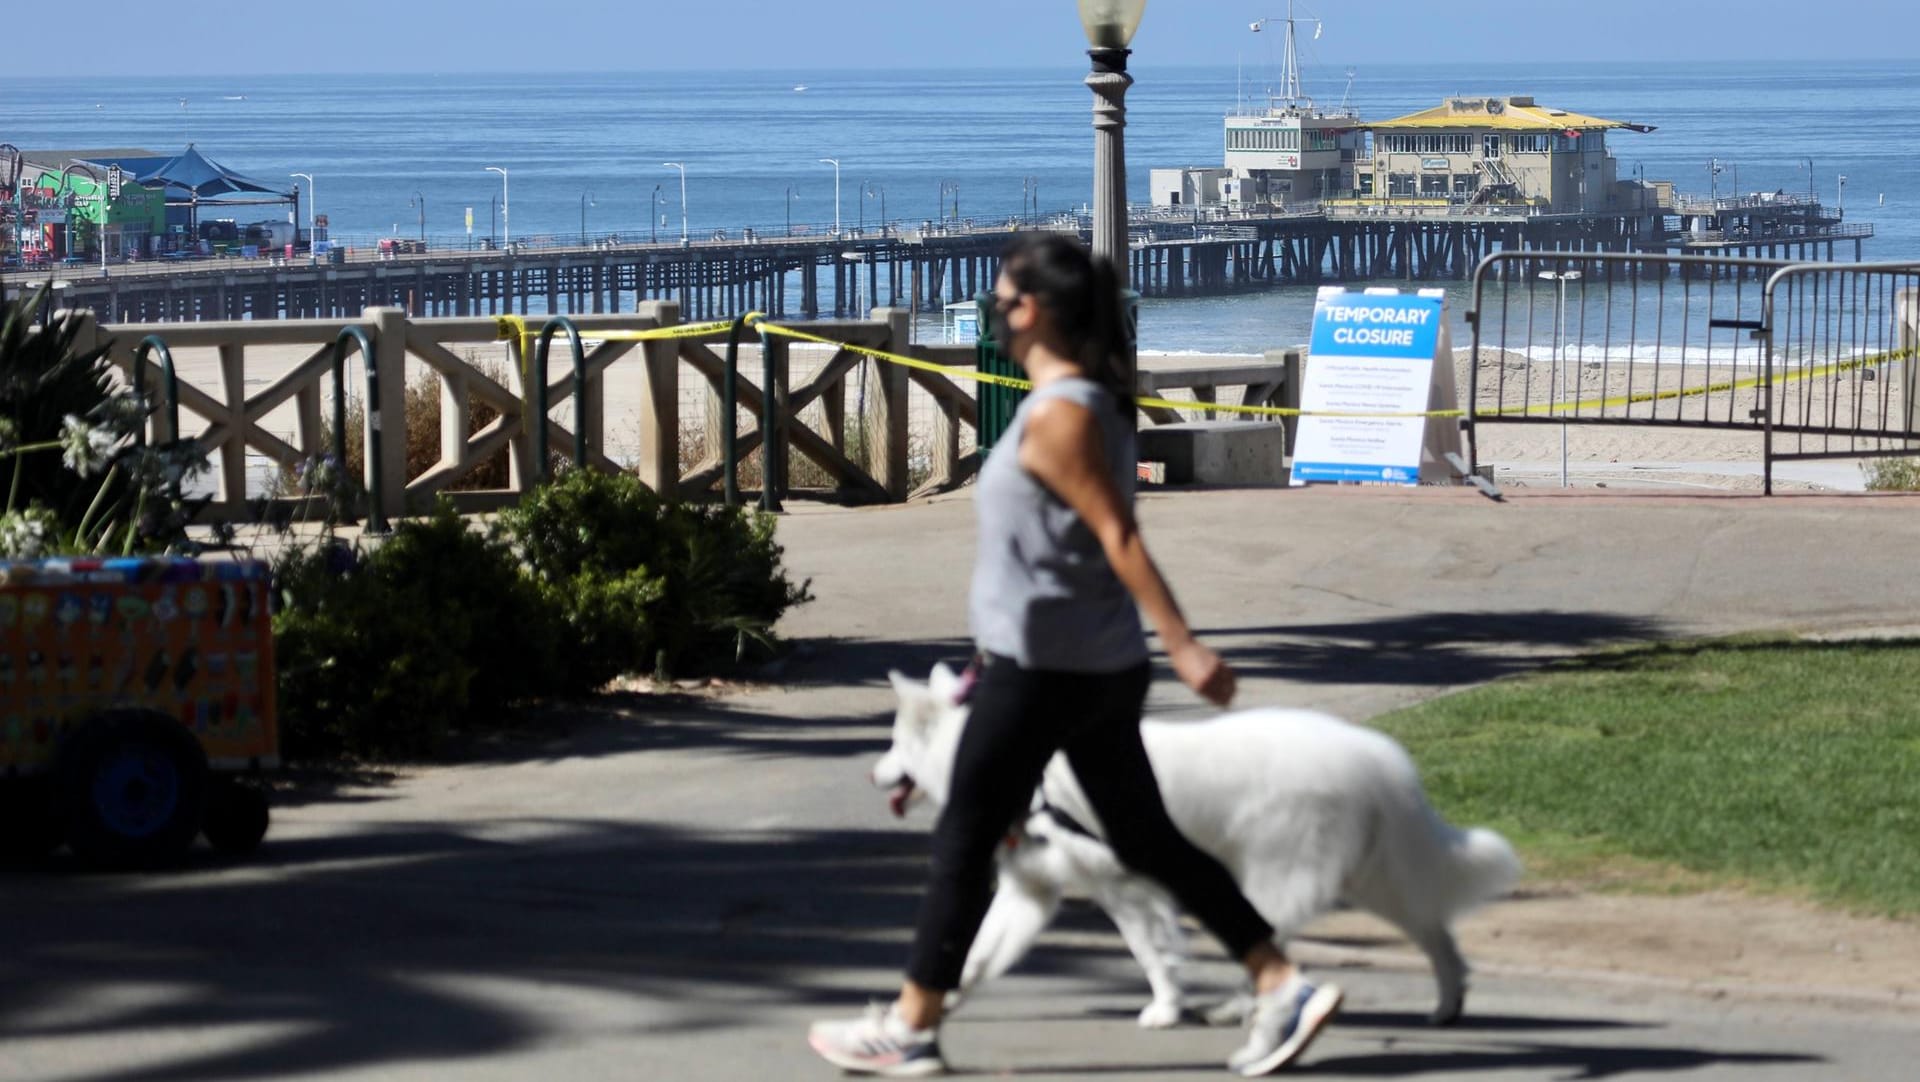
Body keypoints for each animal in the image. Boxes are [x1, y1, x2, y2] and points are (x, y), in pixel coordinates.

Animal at [879, 663, 1520, 1028]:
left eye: (892, 744)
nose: (873, 773)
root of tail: (1373, 756)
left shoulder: (1123, 889)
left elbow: (1150, 953)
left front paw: (1163, 1009)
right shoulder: (1030, 893)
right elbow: (976, 953)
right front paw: (934, 1005)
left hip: (1277, 880)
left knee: (1269, 947)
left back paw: (1244, 1010)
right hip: (1372, 881)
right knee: (1436, 935)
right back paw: (1446, 1007)